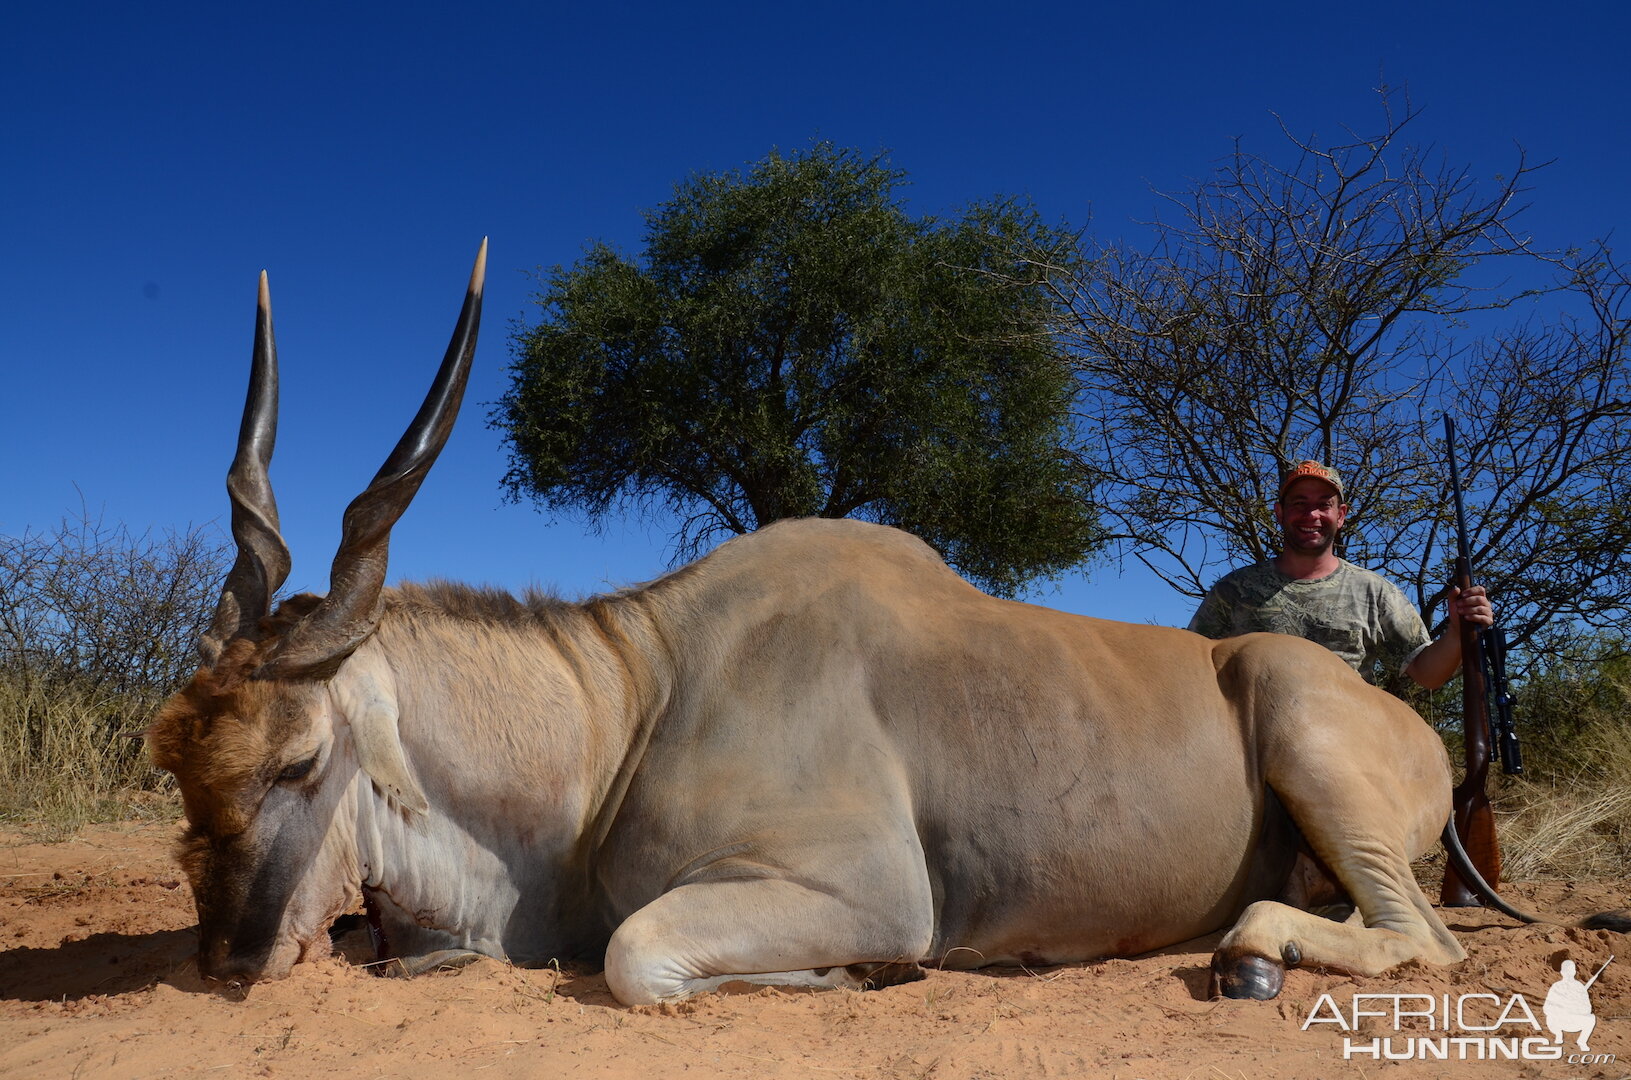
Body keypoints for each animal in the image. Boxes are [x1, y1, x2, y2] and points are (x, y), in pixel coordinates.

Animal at [150, 244, 1617, 1004]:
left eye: (299, 761)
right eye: (175, 768)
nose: (220, 964)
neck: (627, 708)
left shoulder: (856, 889)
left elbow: (632, 958)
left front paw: (848, 983)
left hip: (1302, 728)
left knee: (1418, 937)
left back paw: (1247, 949)